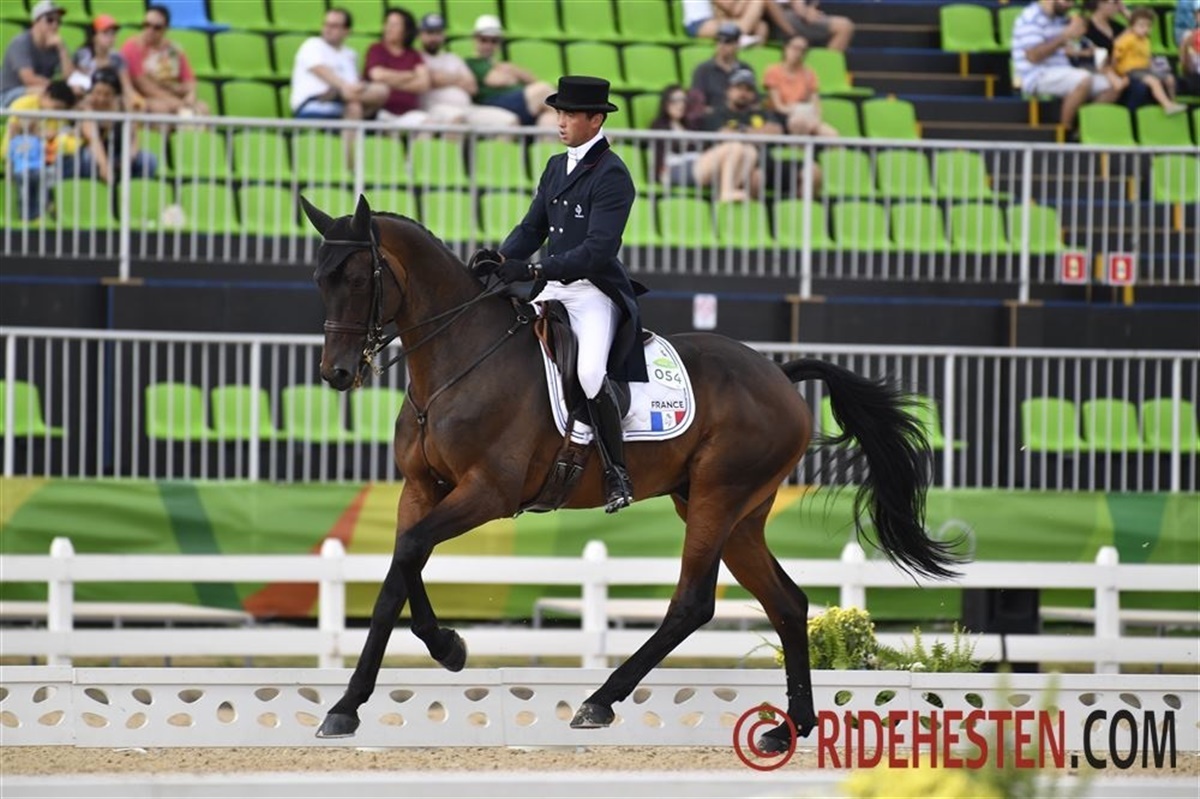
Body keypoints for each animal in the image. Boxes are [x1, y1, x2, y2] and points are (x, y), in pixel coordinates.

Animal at [299, 194, 960, 750]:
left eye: (357, 279)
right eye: (318, 282)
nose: (336, 374)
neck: (457, 361)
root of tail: (778, 374)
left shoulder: (488, 492)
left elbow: (410, 552)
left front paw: (421, 664)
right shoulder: (422, 488)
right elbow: (399, 572)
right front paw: (372, 691)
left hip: (720, 496)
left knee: (692, 604)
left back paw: (601, 701)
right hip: (733, 512)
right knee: (788, 602)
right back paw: (790, 728)